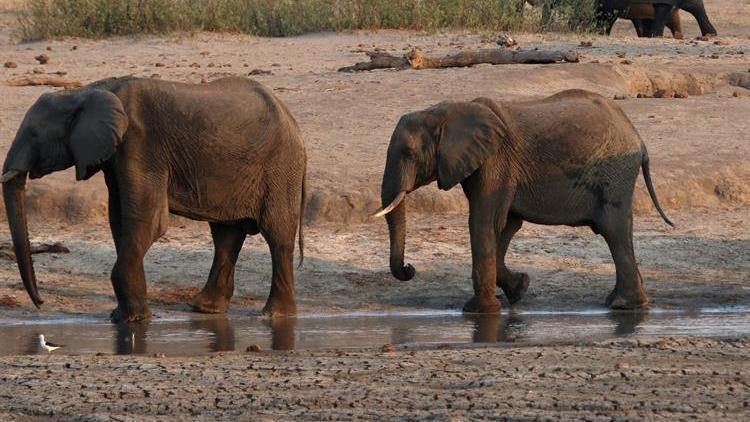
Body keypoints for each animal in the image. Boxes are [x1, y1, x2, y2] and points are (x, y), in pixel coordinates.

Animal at [2, 76, 308, 322]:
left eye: (34, 134)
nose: (40, 302)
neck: (90, 90)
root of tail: (292, 120)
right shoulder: (117, 154)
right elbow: (119, 218)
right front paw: (124, 316)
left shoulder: (140, 145)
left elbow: (148, 220)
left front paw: (131, 320)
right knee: (226, 234)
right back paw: (205, 309)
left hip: (281, 167)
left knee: (277, 235)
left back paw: (274, 315)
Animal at [376, 90, 676, 314]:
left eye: (408, 153)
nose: (410, 269)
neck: (446, 111)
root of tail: (638, 136)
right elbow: (506, 225)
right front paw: (520, 288)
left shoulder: (495, 163)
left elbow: (484, 223)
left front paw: (478, 311)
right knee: (617, 230)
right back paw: (623, 302)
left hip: (615, 173)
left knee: (613, 230)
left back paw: (623, 305)